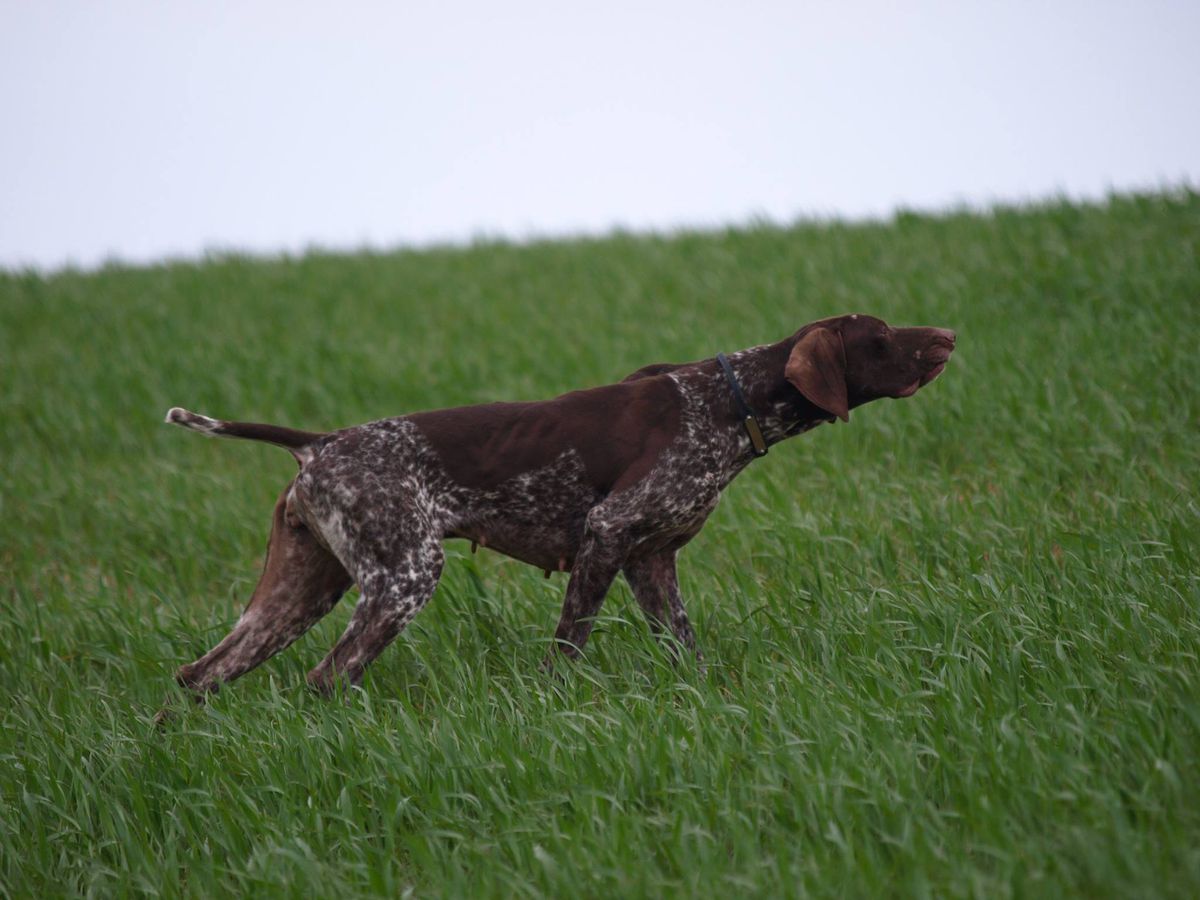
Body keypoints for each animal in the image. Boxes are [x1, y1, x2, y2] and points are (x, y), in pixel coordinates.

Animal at [164, 314, 955, 700]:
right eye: (882, 337)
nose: (947, 336)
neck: (728, 404)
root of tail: (320, 444)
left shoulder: (650, 563)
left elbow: (686, 651)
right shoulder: (606, 536)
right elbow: (569, 645)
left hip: (298, 592)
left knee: (200, 675)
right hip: (404, 578)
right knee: (329, 676)